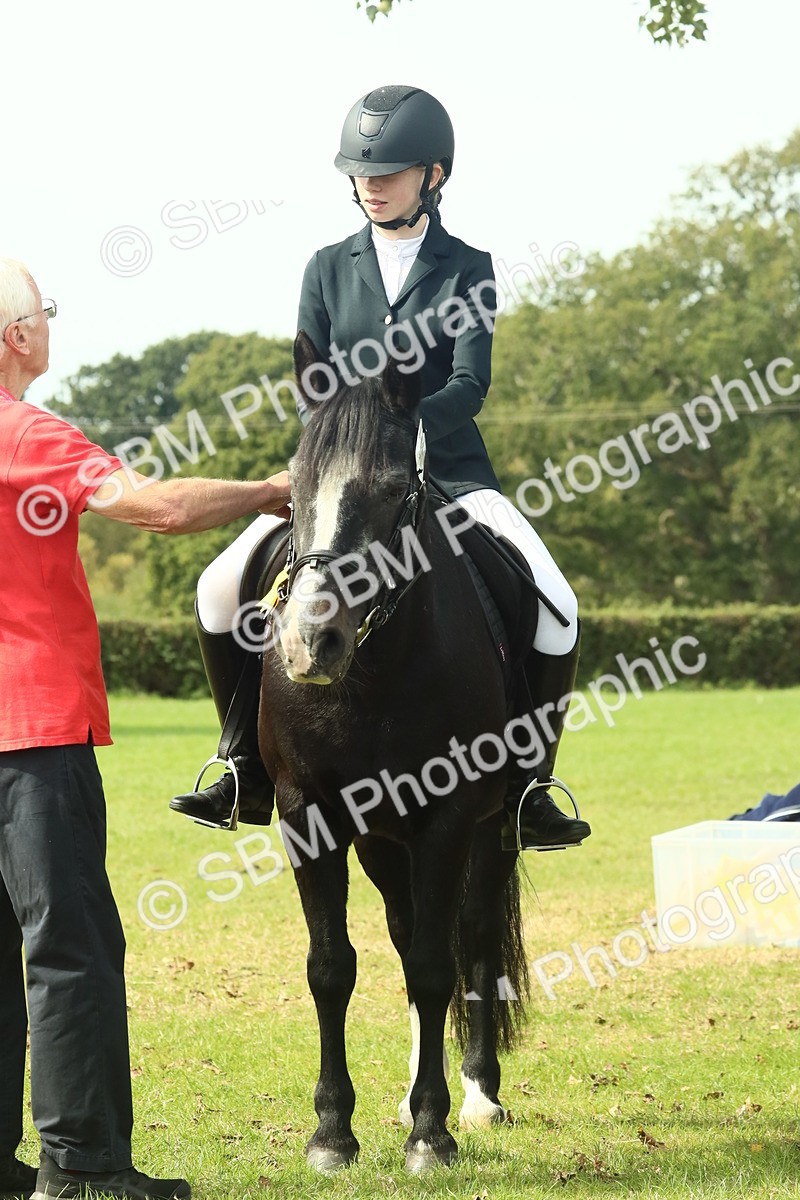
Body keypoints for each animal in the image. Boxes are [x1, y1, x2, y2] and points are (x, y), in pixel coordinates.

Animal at [258, 331, 535, 1174]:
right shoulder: (308, 813)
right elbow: (331, 966)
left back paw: (474, 1096)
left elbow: (440, 965)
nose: (310, 644)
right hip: (383, 839)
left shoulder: (448, 815)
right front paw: (331, 1131)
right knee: (411, 933)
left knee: (470, 937)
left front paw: (433, 1133)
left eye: (388, 490)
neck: (371, 670)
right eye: (294, 488)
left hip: (494, 828)